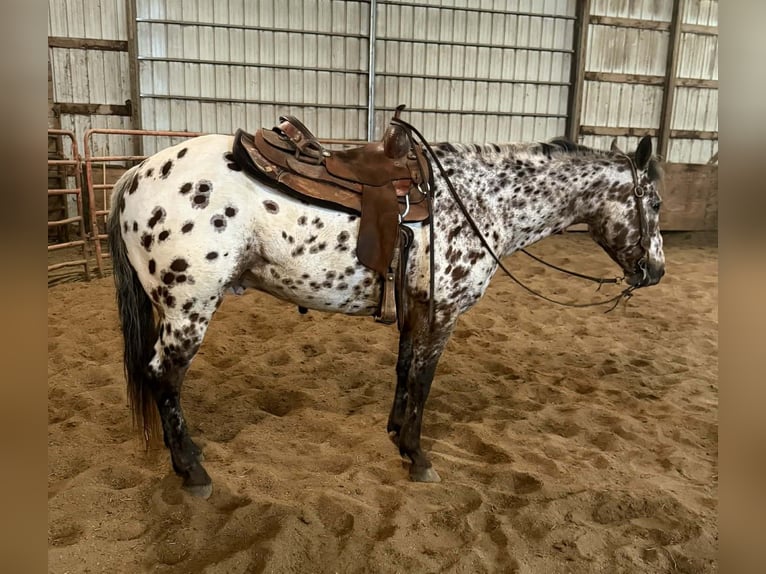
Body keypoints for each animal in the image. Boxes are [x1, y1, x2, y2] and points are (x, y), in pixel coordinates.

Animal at [107, 124, 665, 498]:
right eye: (656, 203)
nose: (656, 272)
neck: (479, 199)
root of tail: (135, 174)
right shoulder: (443, 312)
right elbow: (423, 378)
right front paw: (417, 457)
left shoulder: (416, 307)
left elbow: (404, 370)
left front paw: (397, 435)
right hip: (189, 308)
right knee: (163, 376)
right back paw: (192, 471)